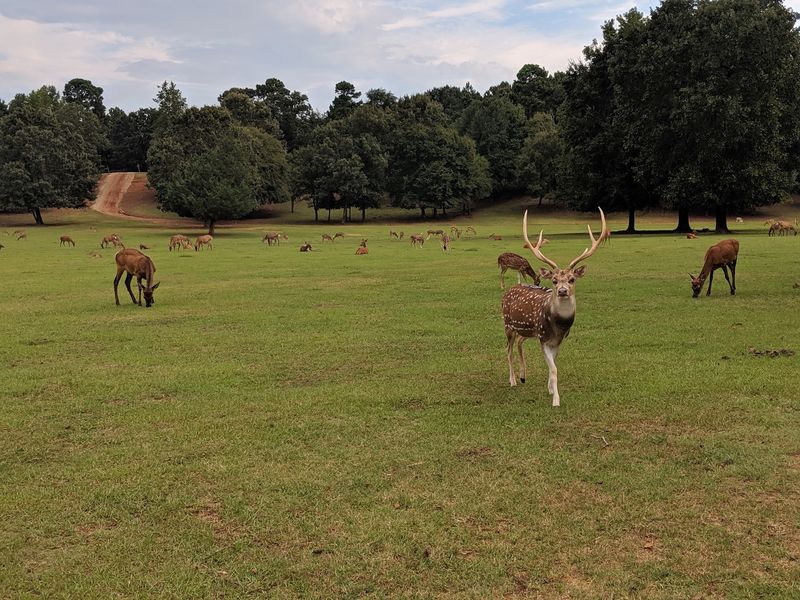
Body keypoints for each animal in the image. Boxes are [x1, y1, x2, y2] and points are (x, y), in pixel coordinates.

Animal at [502, 208, 610, 407]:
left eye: (572, 279)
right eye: (554, 280)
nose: (562, 291)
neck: (559, 325)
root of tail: (511, 289)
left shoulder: (558, 340)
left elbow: (553, 365)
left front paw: (551, 389)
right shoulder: (543, 337)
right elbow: (553, 369)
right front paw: (556, 401)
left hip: (526, 330)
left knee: (519, 342)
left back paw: (523, 376)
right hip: (508, 324)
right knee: (508, 349)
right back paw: (513, 380)